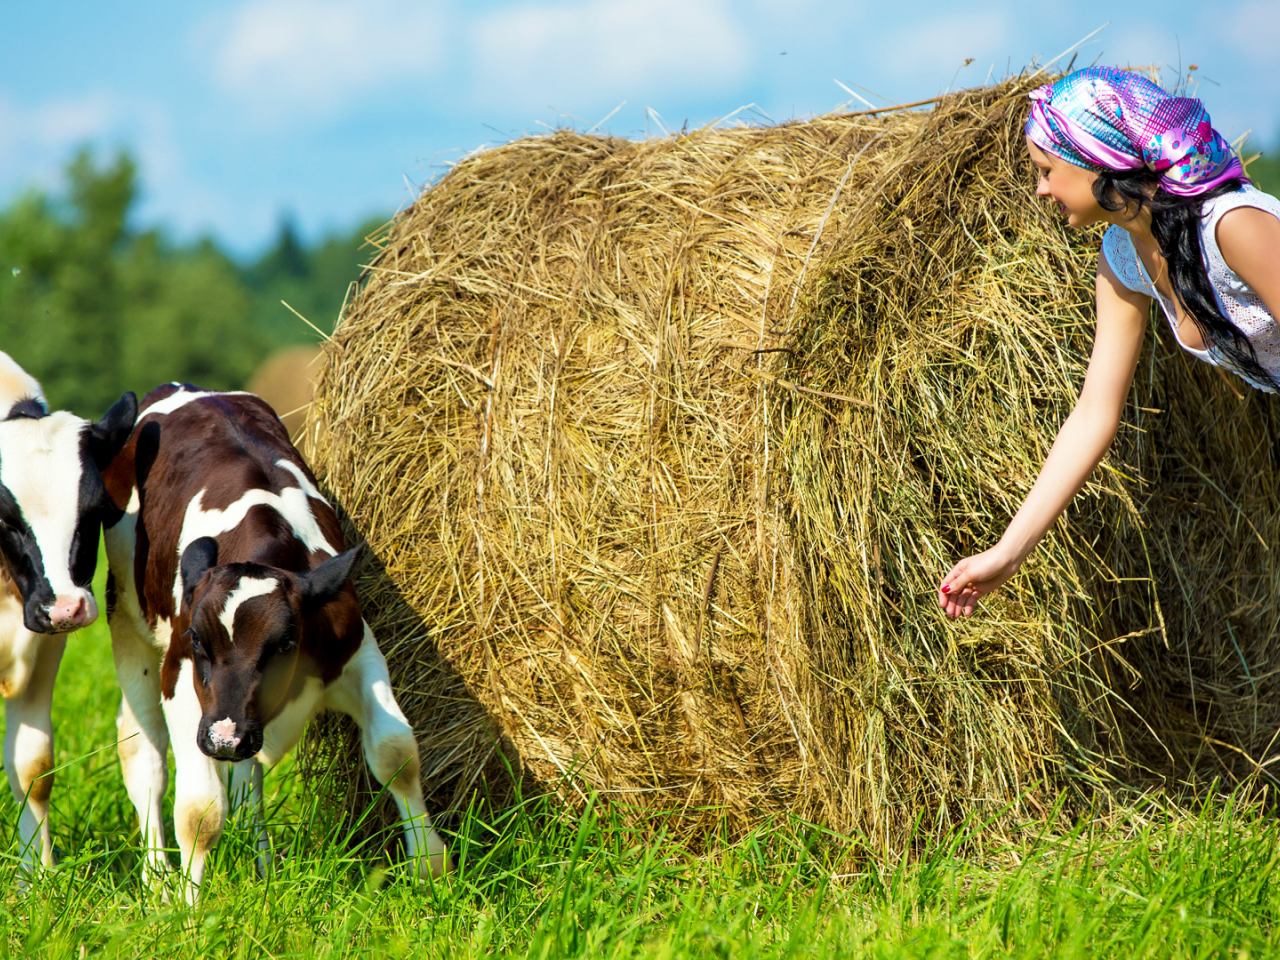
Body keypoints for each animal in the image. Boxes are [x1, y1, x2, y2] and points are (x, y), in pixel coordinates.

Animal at [0, 350, 135, 870]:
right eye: (4, 518)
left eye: (95, 510)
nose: (64, 609)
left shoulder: (42, 648)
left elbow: (33, 765)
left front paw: (37, 874)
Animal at [101, 386, 450, 901]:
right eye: (197, 640)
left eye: (286, 643)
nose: (224, 737)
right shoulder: (183, 682)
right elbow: (200, 811)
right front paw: (188, 904)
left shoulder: (359, 654)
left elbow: (395, 752)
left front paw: (431, 868)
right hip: (127, 624)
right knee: (143, 754)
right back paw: (157, 880)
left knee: (249, 780)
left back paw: (263, 872)